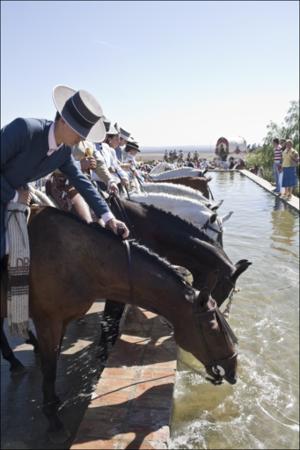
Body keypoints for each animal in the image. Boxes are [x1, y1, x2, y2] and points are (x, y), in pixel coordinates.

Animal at [0, 208, 239, 442]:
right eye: (212, 329)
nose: (233, 368)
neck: (81, 261)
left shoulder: (63, 320)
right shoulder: (48, 321)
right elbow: (51, 367)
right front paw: (53, 418)